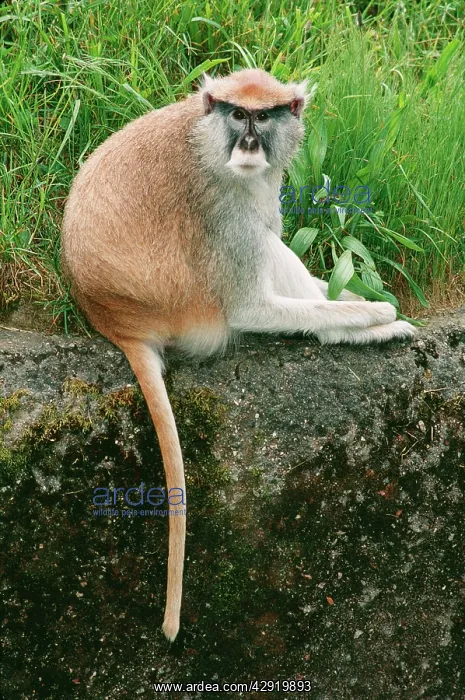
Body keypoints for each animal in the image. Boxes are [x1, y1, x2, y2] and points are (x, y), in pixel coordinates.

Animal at [60, 68, 415, 642]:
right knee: (261, 253)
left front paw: (363, 302)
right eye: (237, 114)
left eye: (263, 117)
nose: (249, 142)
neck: (204, 138)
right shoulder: (221, 204)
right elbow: (251, 307)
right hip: (190, 304)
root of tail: (114, 319)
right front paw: (374, 314)